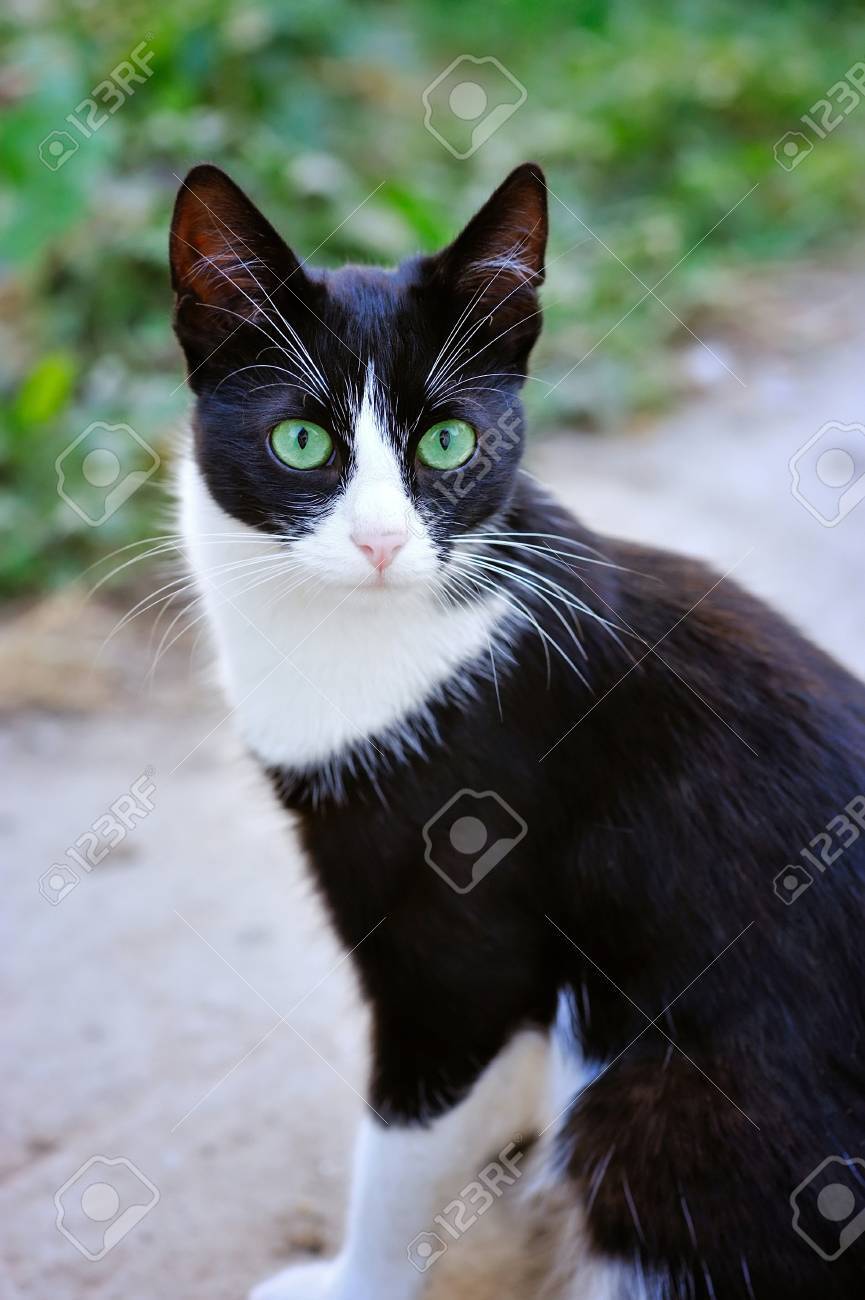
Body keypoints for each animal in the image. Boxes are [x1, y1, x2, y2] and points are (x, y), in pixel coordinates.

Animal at [171, 162, 863, 1300]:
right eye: (301, 440)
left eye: (448, 441)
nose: (379, 541)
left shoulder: (464, 941)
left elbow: (403, 1146)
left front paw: (353, 1279)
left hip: (657, 1110)